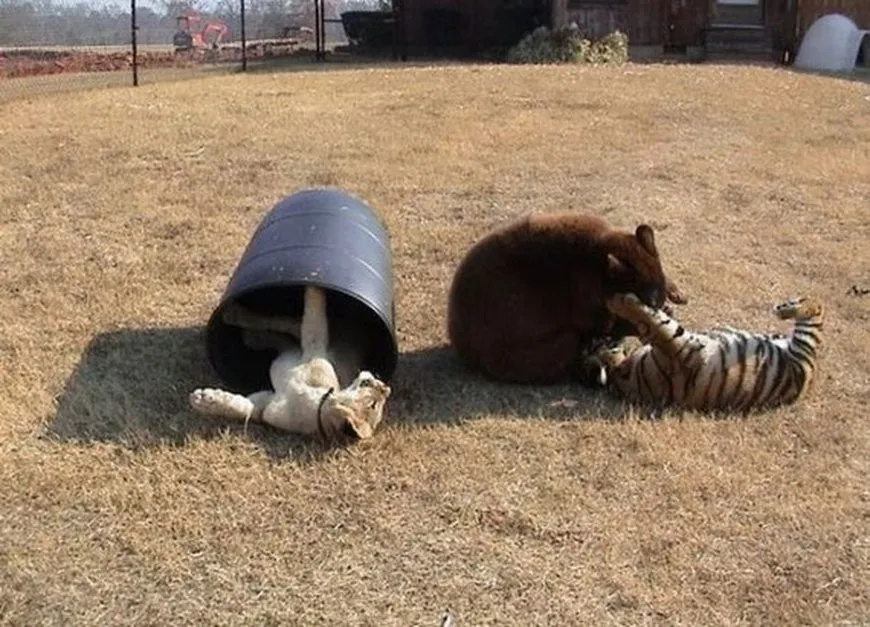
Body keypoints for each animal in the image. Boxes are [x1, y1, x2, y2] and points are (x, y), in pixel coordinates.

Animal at [446, 211, 688, 384]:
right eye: (650, 303)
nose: (661, 310)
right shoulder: (586, 301)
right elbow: (608, 324)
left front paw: (675, 294)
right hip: (527, 353)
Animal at [581, 292, 824, 414]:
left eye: (598, 340)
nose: (596, 336)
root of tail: (807, 387)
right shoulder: (679, 349)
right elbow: (652, 322)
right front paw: (619, 301)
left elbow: (654, 319)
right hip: (805, 347)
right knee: (816, 311)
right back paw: (788, 308)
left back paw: (786, 306)